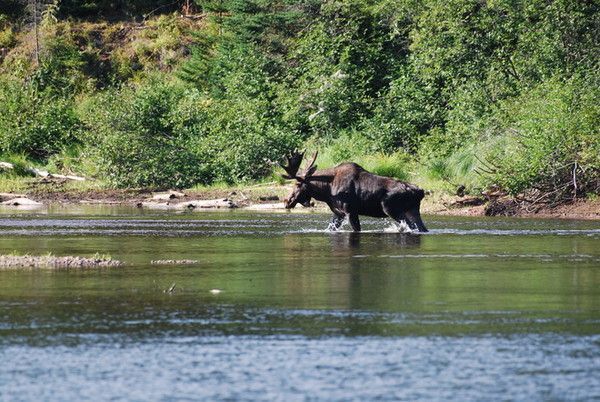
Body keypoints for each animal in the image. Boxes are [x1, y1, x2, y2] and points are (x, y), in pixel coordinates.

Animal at [280, 151, 426, 232]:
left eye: (297, 184)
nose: (287, 201)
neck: (326, 190)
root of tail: (420, 191)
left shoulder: (350, 210)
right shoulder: (338, 213)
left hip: (392, 209)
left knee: (411, 227)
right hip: (413, 210)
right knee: (421, 228)